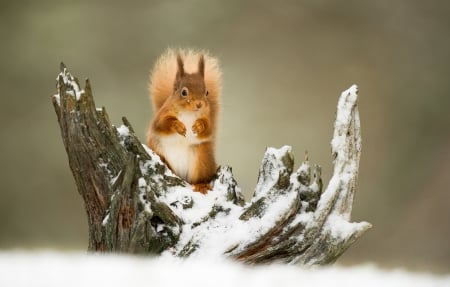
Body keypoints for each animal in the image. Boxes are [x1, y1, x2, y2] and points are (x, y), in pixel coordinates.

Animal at [146, 48, 221, 195]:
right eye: (184, 92)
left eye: (207, 92)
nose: (199, 104)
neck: (188, 113)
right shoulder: (161, 115)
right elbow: (162, 124)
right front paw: (178, 126)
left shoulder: (207, 117)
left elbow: (208, 128)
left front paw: (198, 126)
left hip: (202, 158)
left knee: (201, 177)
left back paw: (201, 185)